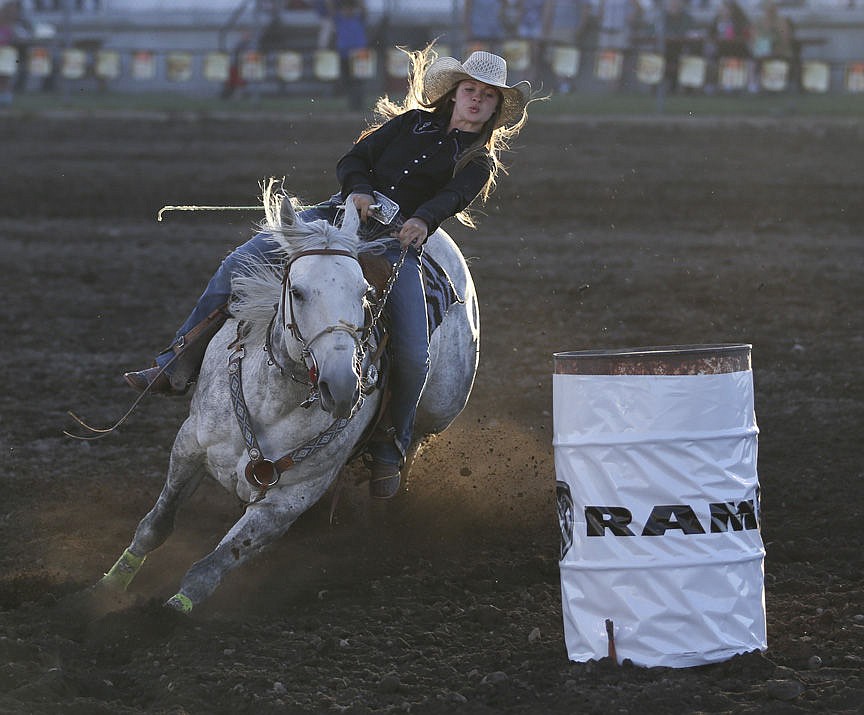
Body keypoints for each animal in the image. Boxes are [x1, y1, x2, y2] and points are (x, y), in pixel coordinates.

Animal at [99, 190, 486, 616]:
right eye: (297, 292)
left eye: (365, 293)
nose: (342, 386)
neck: (272, 401)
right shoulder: (189, 445)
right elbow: (156, 525)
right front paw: (105, 590)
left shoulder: (287, 501)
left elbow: (213, 565)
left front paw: (171, 612)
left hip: (430, 418)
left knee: (408, 447)